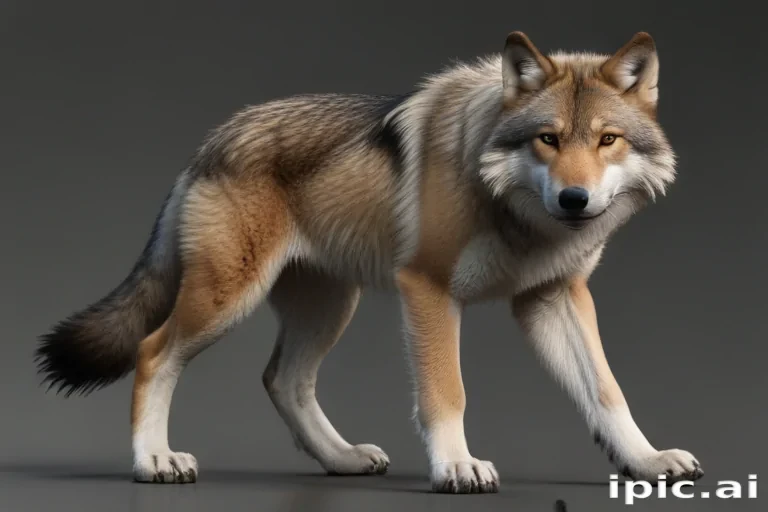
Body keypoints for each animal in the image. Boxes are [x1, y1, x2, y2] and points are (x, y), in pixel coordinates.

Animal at [35, 31, 703, 493]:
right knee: (153, 352)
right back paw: (153, 461)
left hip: (331, 307)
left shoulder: (554, 298)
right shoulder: (428, 290)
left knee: (282, 379)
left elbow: (608, 393)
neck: (515, 216)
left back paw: (342, 459)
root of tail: (210, 142)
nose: (574, 198)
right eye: (549, 139)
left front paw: (646, 461)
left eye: (607, 140)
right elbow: (447, 393)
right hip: (226, 300)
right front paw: (456, 467)